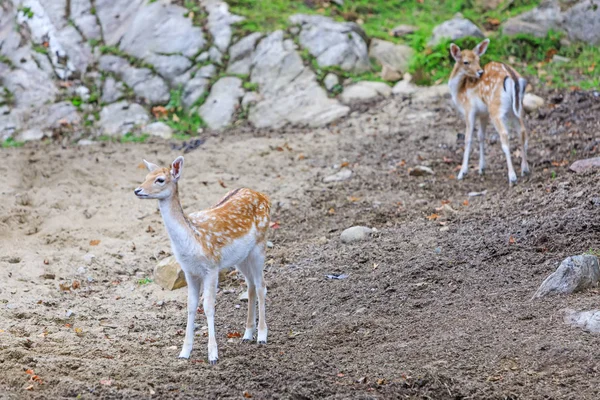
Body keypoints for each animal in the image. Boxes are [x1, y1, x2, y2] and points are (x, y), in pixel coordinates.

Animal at [135, 157, 270, 366]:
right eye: (146, 176)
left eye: (159, 179)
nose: (138, 190)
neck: (194, 240)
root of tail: (264, 196)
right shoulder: (189, 271)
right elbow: (191, 306)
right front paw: (184, 352)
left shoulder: (212, 267)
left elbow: (208, 307)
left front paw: (213, 355)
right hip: (241, 257)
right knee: (251, 286)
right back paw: (247, 334)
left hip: (259, 246)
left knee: (262, 285)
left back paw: (262, 336)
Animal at [450, 38, 528, 184]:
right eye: (466, 62)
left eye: (478, 59)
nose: (480, 72)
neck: (459, 91)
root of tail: (512, 77)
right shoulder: (483, 113)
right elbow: (481, 136)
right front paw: (482, 168)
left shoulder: (469, 110)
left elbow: (468, 138)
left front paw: (462, 172)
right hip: (516, 108)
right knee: (522, 131)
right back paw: (525, 169)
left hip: (495, 109)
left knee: (504, 134)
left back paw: (512, 176)